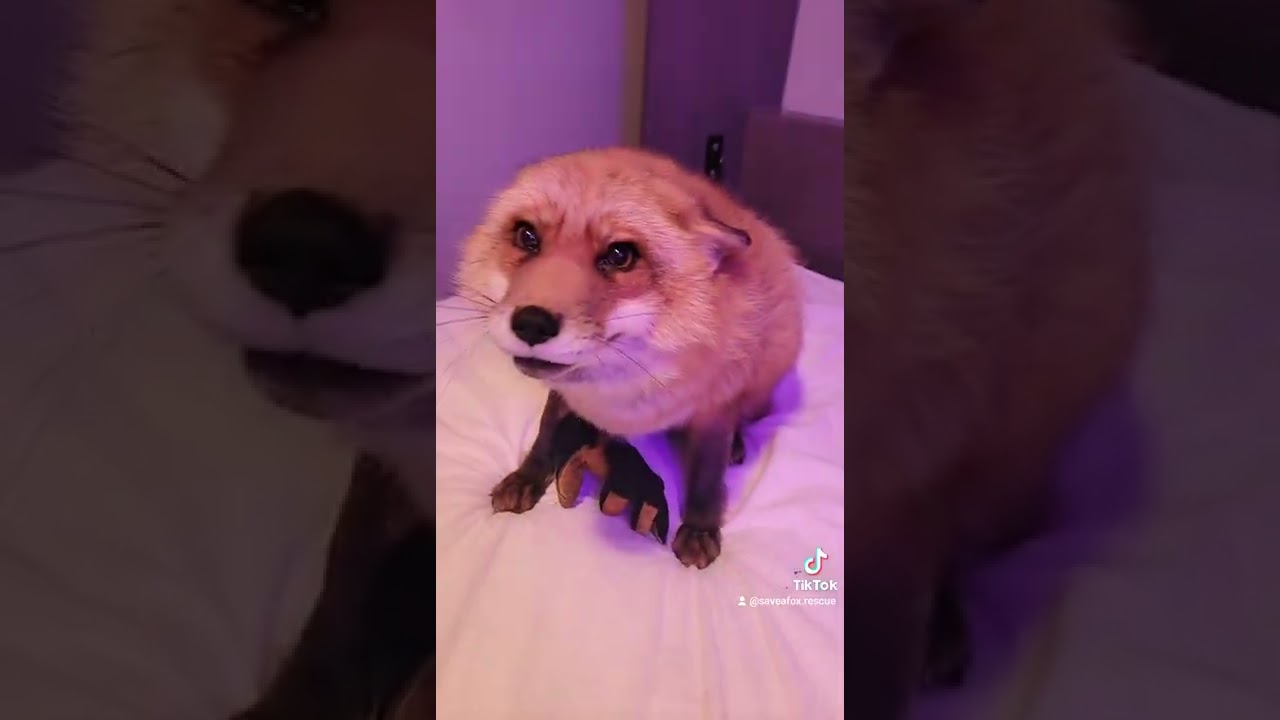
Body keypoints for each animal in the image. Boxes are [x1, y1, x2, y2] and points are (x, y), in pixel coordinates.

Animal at [454, 146, 804, 568]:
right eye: (527, 236)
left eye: (620, 255)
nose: (532, 324)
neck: (620, 396)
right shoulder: (563, 392)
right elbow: (545, 433)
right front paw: (527, 476)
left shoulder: (715, 403)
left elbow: (707, 473)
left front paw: (700, 526)